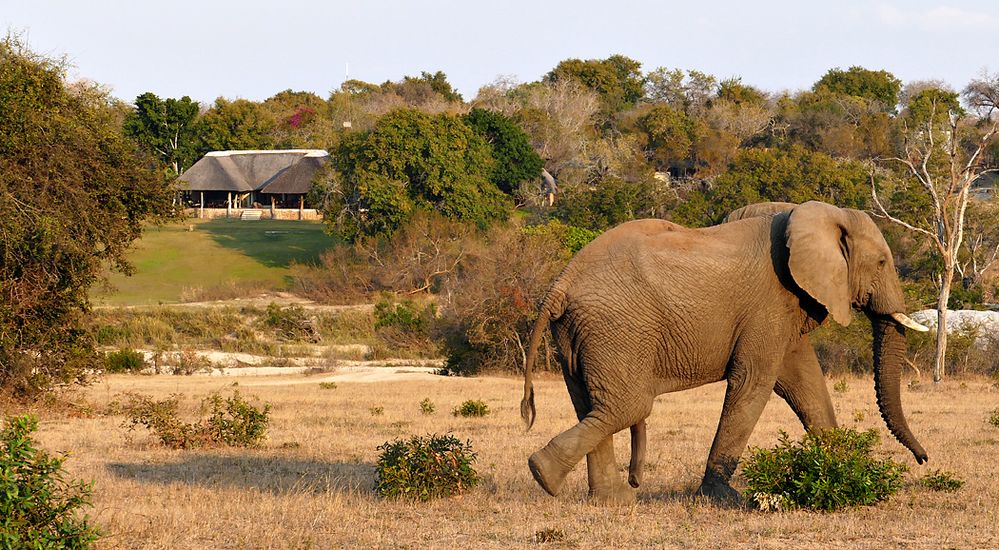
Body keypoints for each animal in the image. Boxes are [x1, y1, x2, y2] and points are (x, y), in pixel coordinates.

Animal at [524, 201, 928, 506]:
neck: (811, 213)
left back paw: (609, 498)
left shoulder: (785, 308)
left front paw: (843, 471)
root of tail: (561, 282)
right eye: (881, 263)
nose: (923, 459)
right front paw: (722, 497)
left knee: (592, 405)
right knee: (628, 406)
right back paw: (544, 473)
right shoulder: (769, 303)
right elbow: (754, 382)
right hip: (616, 328)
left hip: (581, 333)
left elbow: (805, 383)